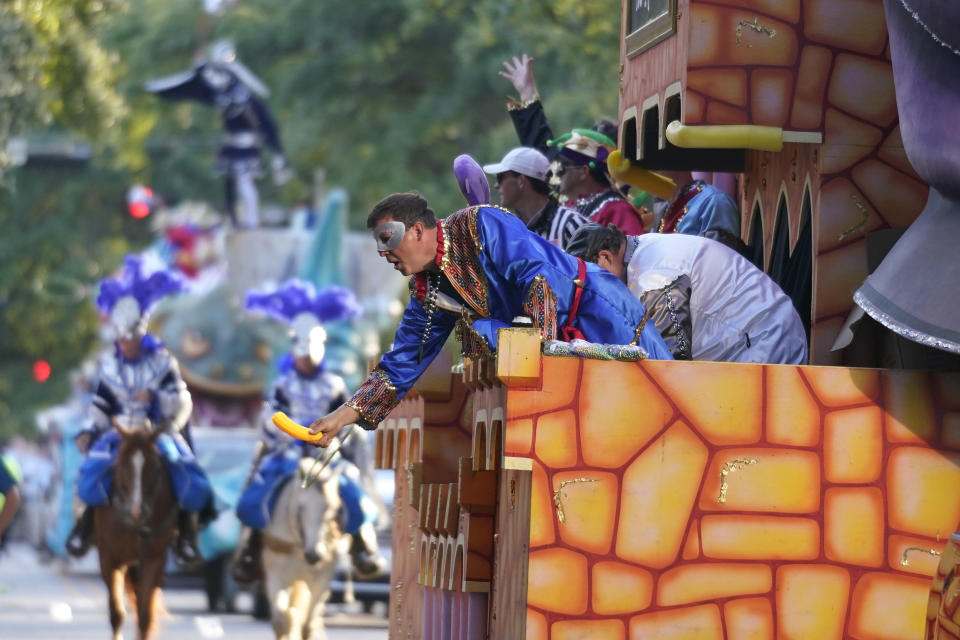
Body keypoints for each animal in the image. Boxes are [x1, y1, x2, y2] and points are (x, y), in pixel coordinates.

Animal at [94, 420, 178, 640]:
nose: (136, 510)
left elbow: (144, 617)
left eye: (155, 465)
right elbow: (117, 614)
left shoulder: (154, 559)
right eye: (123, 463)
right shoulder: (110, 558)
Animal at [262, 456, 344, 640]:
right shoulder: (276, 574)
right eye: (300, 508)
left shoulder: (322, 577)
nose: (314, 555)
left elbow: (308, 625)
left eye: (330, 508)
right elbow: (282, 621)